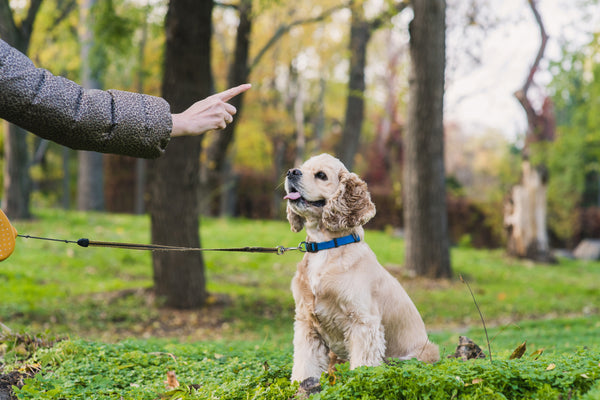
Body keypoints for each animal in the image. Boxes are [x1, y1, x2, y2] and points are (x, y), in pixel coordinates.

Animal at [284, 153, 438, 384]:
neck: (325, 247)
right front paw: (302, 385)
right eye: (301, 167)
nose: (291, 172)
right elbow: (305, 364)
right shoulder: (306, 323)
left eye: (321, 175)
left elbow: (363, 365)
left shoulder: (363, 322)